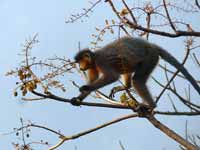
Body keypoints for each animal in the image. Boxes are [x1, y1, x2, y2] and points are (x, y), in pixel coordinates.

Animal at [71, 36, 200, 109]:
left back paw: (151, 106)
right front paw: (78, 99)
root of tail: (151, 46)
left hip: (150, 58)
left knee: (137, 80)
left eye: (80, 62)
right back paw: (126, 87)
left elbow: (112, 77)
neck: (94, 58)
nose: (80, 67)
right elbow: (94, 79)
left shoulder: (101, 61)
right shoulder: (93, 66)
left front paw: (86, 87)